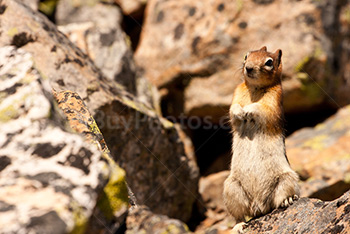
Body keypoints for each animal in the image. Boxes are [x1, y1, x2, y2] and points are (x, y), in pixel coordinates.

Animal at [223, 46, 300, 233]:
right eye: (246, 55)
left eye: (269, 62)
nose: (248, 68)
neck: (255, 88)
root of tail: (259, 206)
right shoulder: (237, 93)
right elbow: (233, 110)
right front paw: (240, 111)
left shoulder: (274, 102)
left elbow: (261, 108)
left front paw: (248, 110)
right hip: (231, 188)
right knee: (239, 215)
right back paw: (238, 226)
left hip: (287, 179)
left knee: (279, 200)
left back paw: (287, 200)